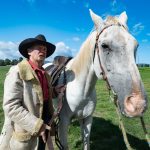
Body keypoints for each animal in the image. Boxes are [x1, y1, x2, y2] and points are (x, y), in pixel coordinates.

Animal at [44, 9, 148, 150]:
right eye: (104, 46)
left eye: (136, 46)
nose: (137, 104)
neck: (82, 91)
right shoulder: (63, 123)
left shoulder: (87, 119)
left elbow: (86, 141)